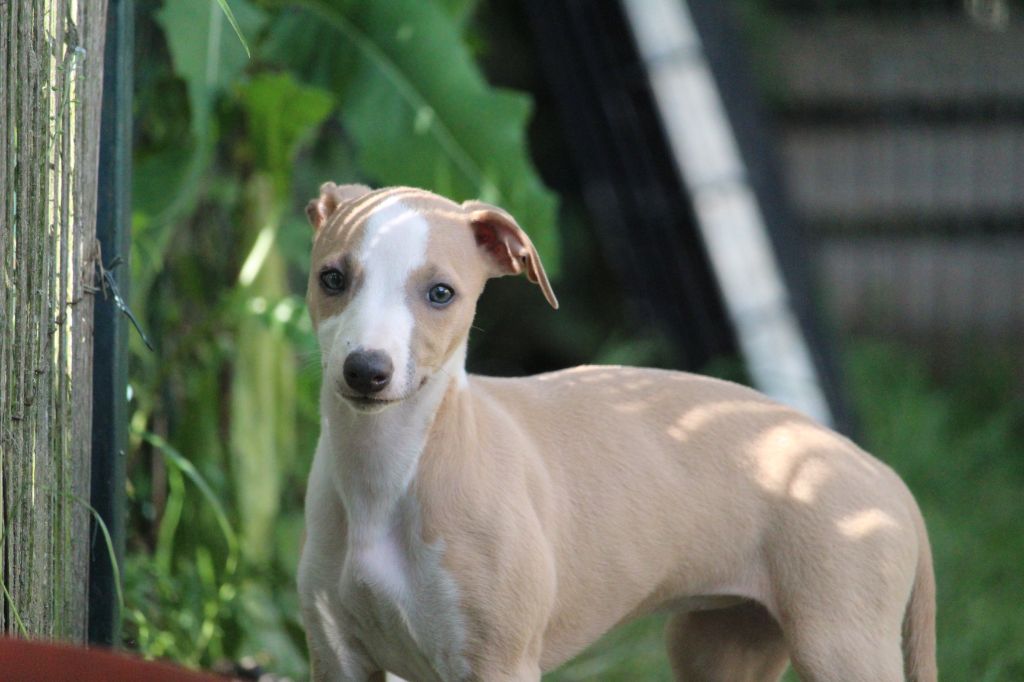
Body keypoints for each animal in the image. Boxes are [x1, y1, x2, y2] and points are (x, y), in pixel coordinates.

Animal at [297, 184, 937, 682]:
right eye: (332, 278)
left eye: (440, 293)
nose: (366, 370)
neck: (390, 471)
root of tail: (884, 475)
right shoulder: (338, 657)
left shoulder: (498, 662)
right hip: (722, 641)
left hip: (840, 642)